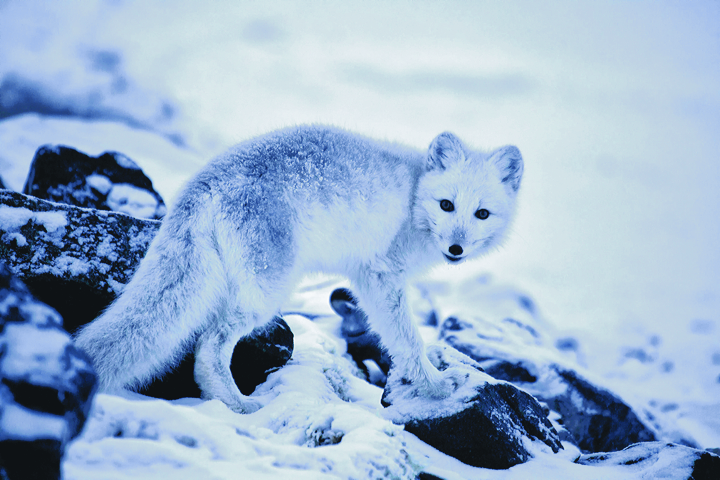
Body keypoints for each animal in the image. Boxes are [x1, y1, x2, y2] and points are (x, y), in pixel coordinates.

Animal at [74, 125, 523, 413]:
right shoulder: (381, 275)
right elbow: (408, 339)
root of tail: (203, 183)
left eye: (482, 214)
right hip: (266, 292)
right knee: (209, 346)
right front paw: (435, 386)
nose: (455, 248)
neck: (415, 197)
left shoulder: (363, 277)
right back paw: (238, 405)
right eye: (446, 205)